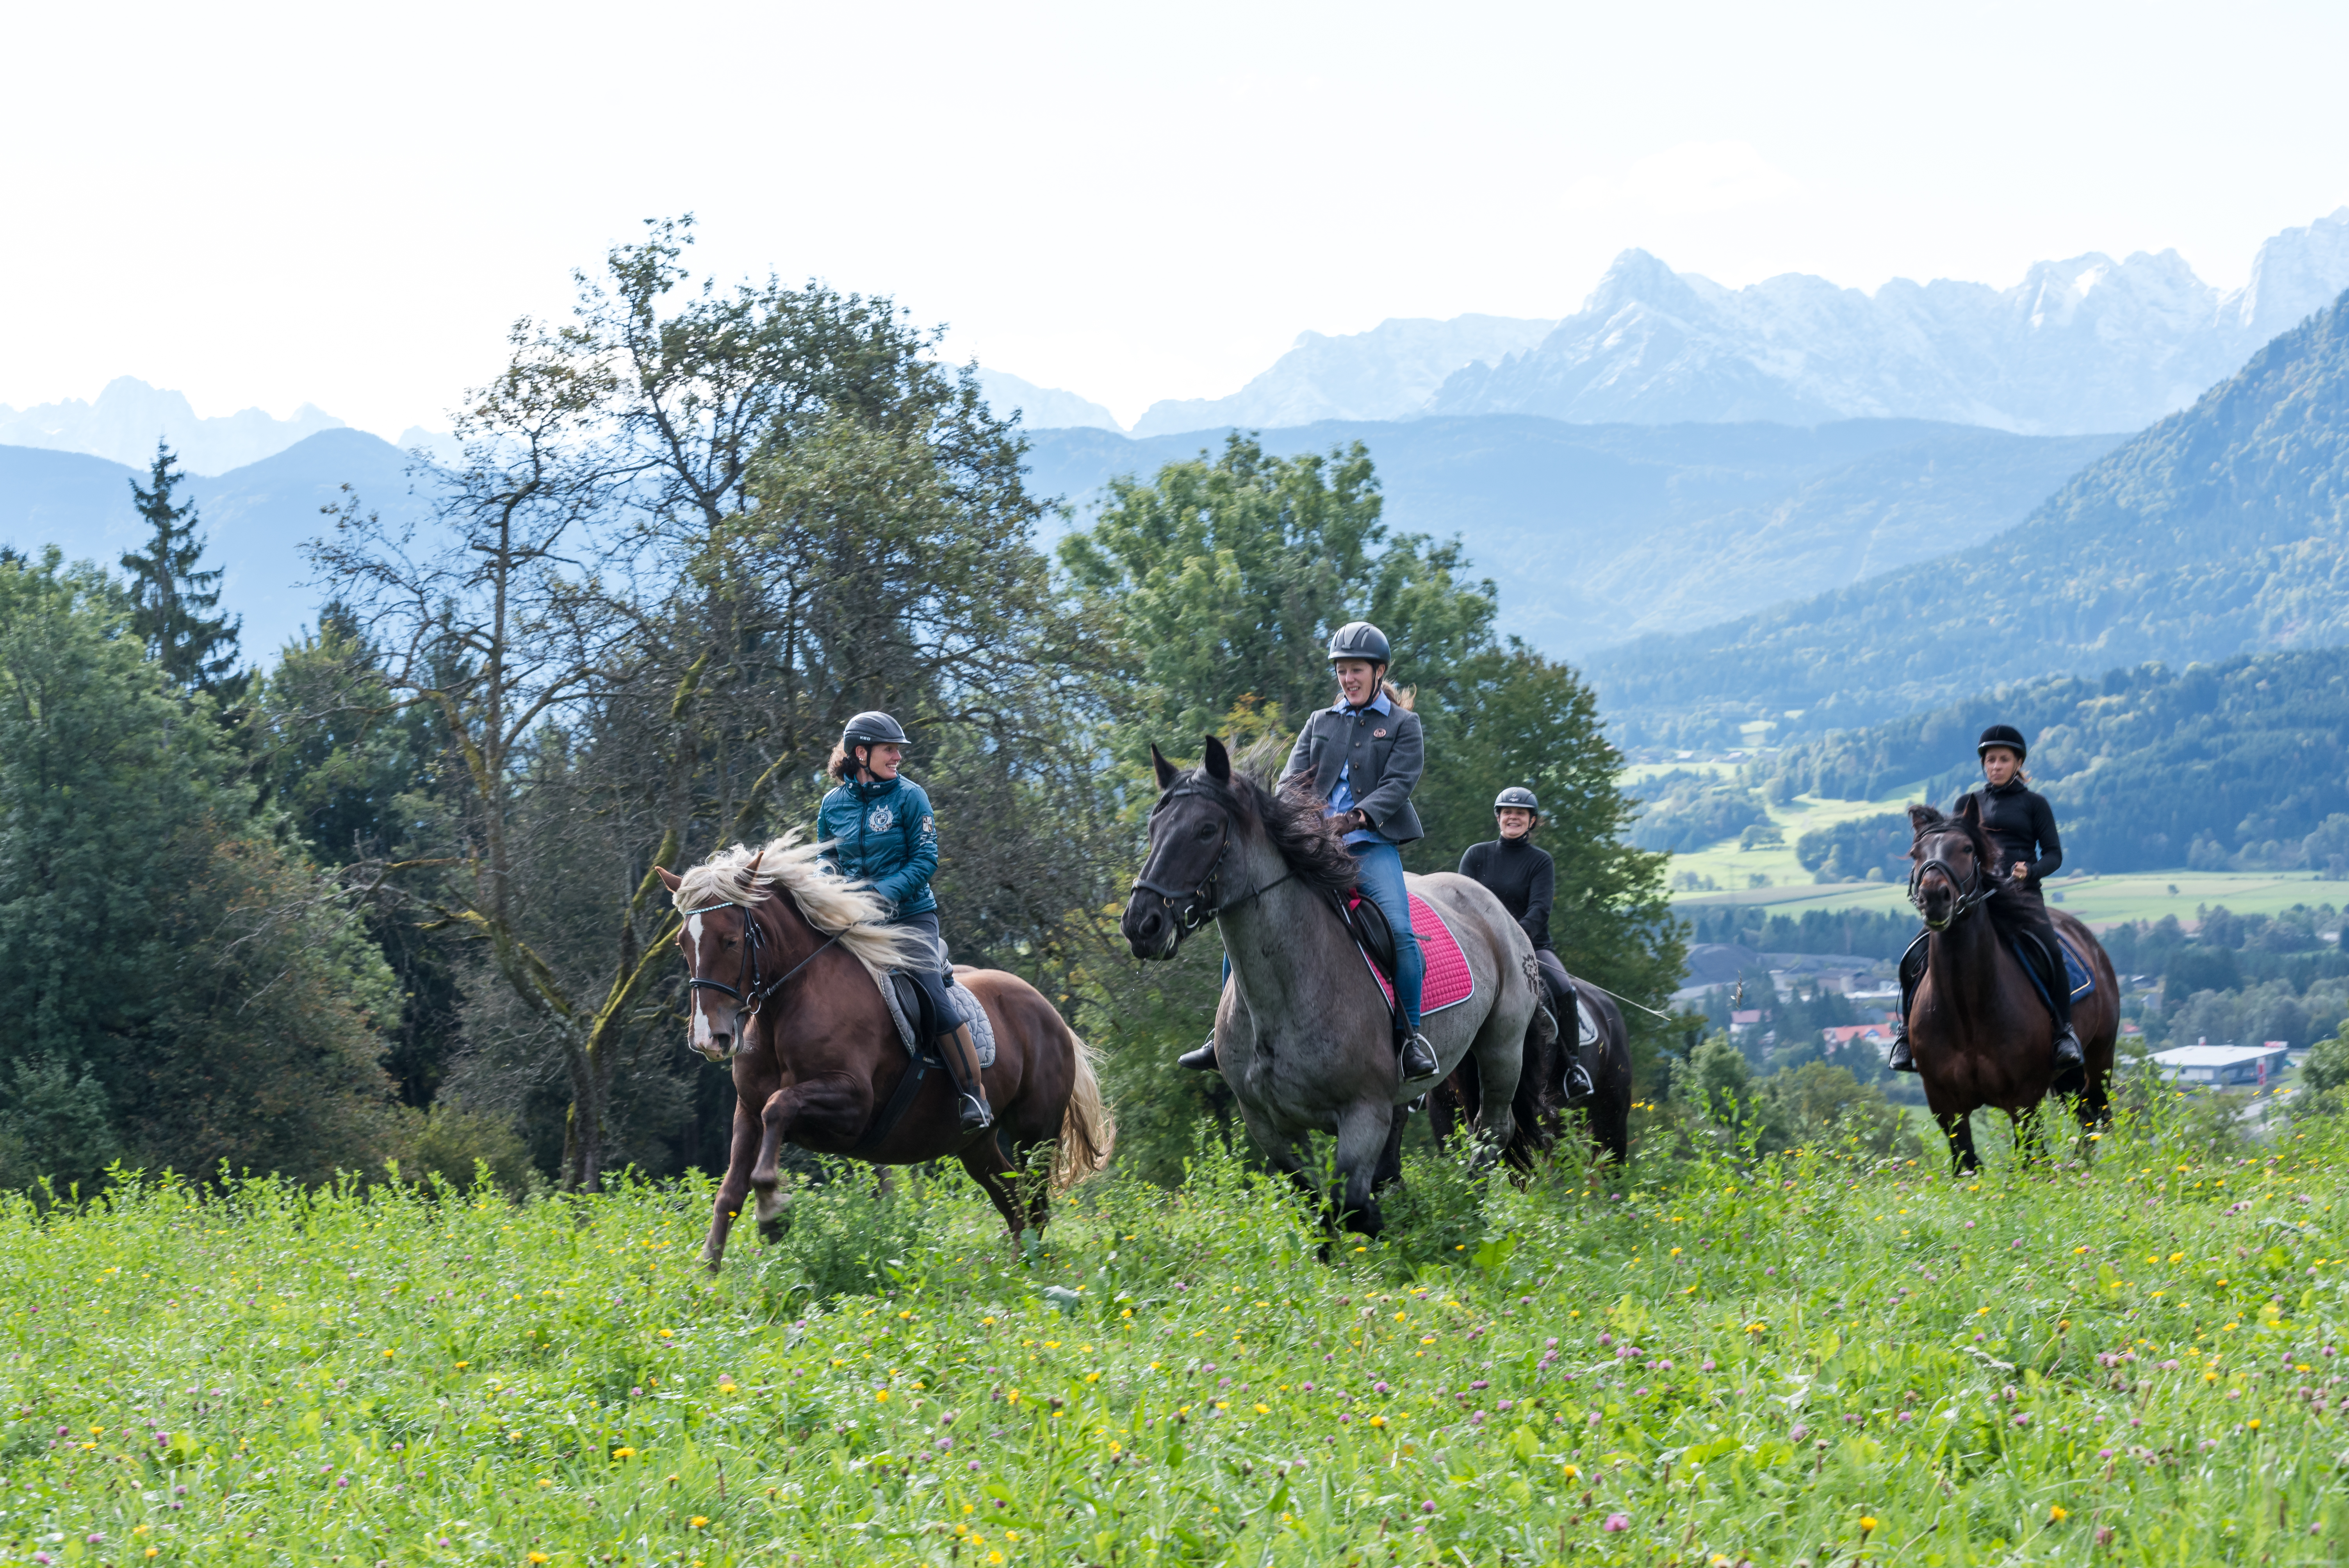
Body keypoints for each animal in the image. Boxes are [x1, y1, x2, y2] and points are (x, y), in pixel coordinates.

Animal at [653, 826, 1109, 1267]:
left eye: (731, 941)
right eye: (682, 943)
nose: (710, 1038)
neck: (789, 1004)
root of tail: (1051, 1014)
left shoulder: (853, 1104)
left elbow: (779, 1107)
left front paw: (772, 1213)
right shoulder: (746, 1111)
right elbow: (730, 1193)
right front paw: (707, 1277)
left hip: (1036, 1134)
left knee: (1035, 1205)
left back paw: (1028, 1275)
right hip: (975, 1145)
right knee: (1015, 1205)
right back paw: (1015, 1272)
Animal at [1113, 737, 1541, 1239]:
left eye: (1205, 829)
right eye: (1154, 826)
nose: (1142, 923)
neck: (1283, 997)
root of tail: (1490, 904)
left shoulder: (1363, 1113)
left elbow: (1350, 1203)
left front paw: (1391, 1225)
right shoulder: (1268, 1123)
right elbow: (1314, 1202)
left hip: (1501, 1047)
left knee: (1492, 1129)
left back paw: (1468, 1210)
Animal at [1898, 803, 2123, 1169]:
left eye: (1967, 849)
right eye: (1917, 853)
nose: (1933, 898)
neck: (1966, 1009)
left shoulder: (2023, 1101)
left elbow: (2033, 1164)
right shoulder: (1945, 1107)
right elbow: (1968, 1167)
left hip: (2099, 1056)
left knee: (2094, 1114)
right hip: (2069, 1076)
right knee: (2085, 1115)